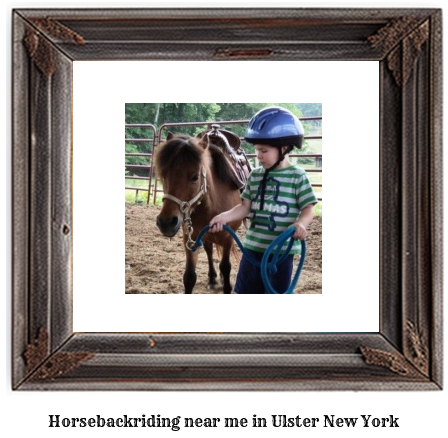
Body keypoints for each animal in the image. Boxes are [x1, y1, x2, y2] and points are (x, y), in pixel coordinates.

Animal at [155, 131, 245, 294]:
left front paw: (226, 281)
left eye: (195, 177)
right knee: (209, 251)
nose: (166, 222)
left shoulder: (228, 237)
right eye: (163, 176)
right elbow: (189, 276)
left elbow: (226, 267)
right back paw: (212, 279)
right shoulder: (190, 238)